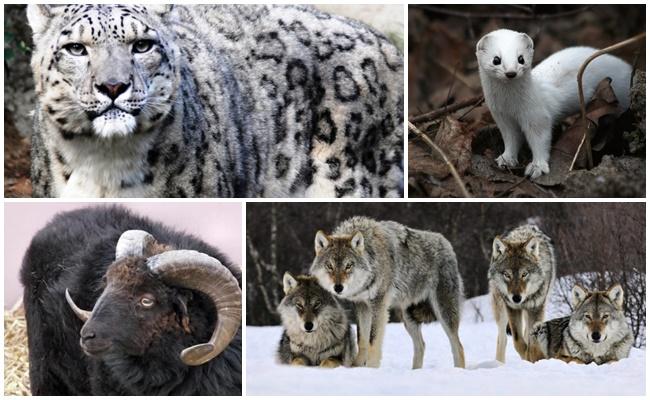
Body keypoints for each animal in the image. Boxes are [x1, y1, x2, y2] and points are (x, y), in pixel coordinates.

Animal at [310, 216, 465, 369]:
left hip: (443, 312)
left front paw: (371, 368)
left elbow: (373, 340)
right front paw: (357, 366)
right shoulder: (362, 305)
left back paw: (458, 370)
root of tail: (446, 243)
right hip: (408, 317)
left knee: (458, 346)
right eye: (329, 266)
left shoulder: (378, 304)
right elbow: (362, 339)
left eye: (348, 266)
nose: (338, 287)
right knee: (421, 345)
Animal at [488, 224, 555, 362]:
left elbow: (530, 340)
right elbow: (518, 341)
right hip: (501, 310)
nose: (516, 298)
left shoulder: (536, 309)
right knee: (502, 339)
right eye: (507, 275)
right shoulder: (512, 308)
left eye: (524, 274)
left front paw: (531, 357)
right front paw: (526, 356)